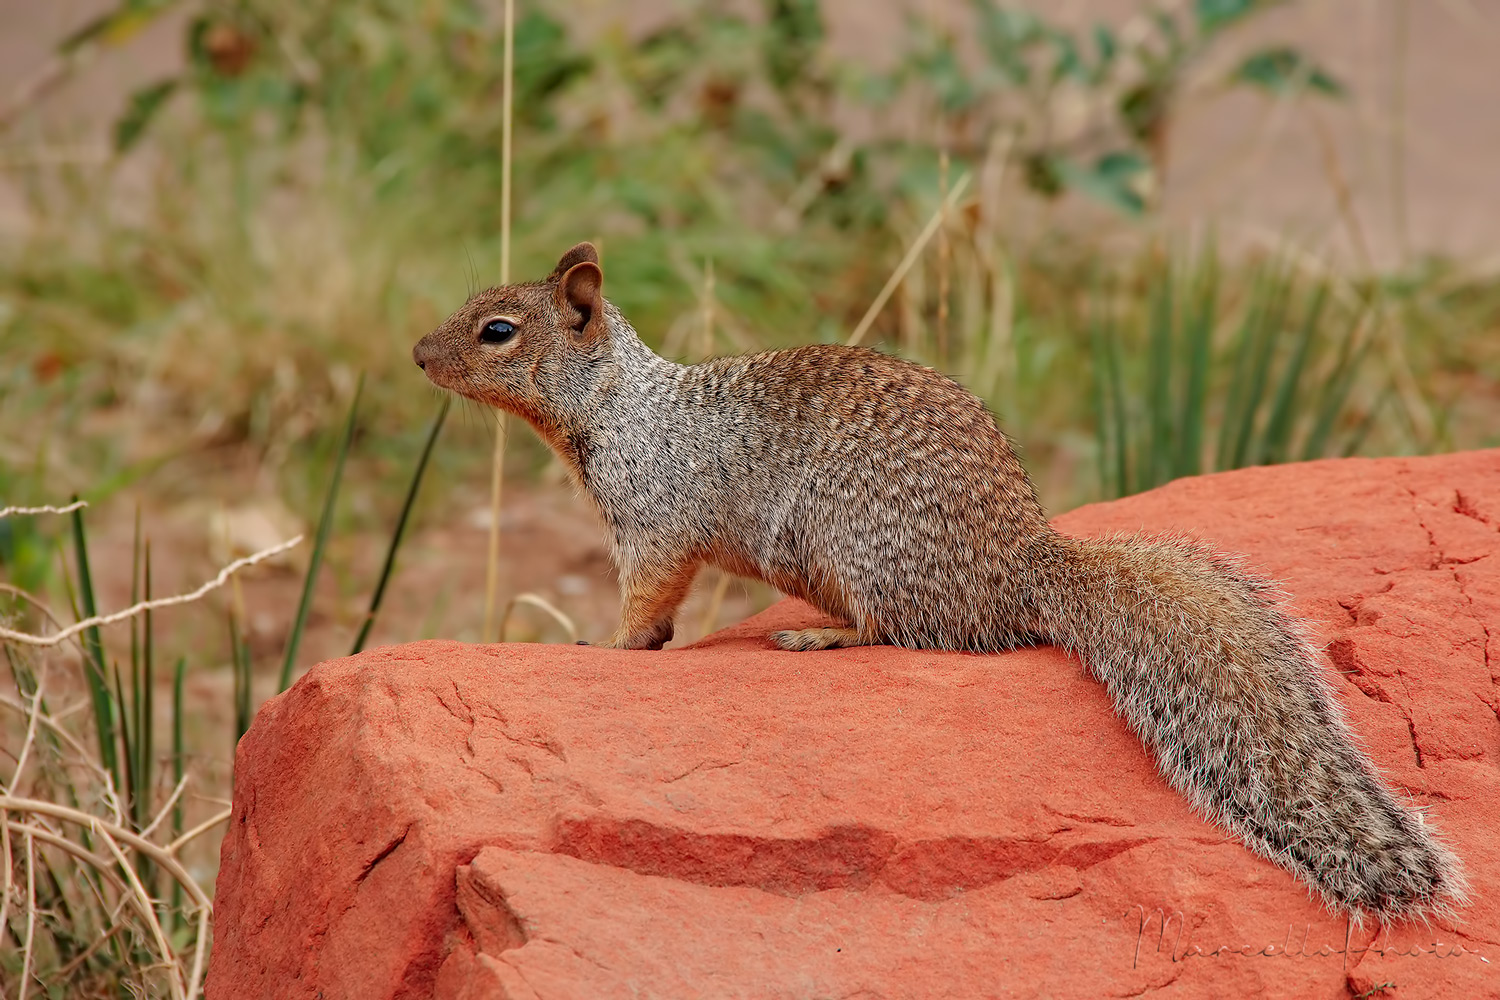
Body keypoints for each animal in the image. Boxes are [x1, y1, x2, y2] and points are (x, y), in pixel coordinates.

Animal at [412, 241, 1466, 922]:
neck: (618, 408)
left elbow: (647, 594)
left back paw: (820, 634)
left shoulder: (656, 521)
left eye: (497, 330)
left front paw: (611, 642)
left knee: (911, 631)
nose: (417, 353)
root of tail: (1022, 565)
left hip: (858, 548)